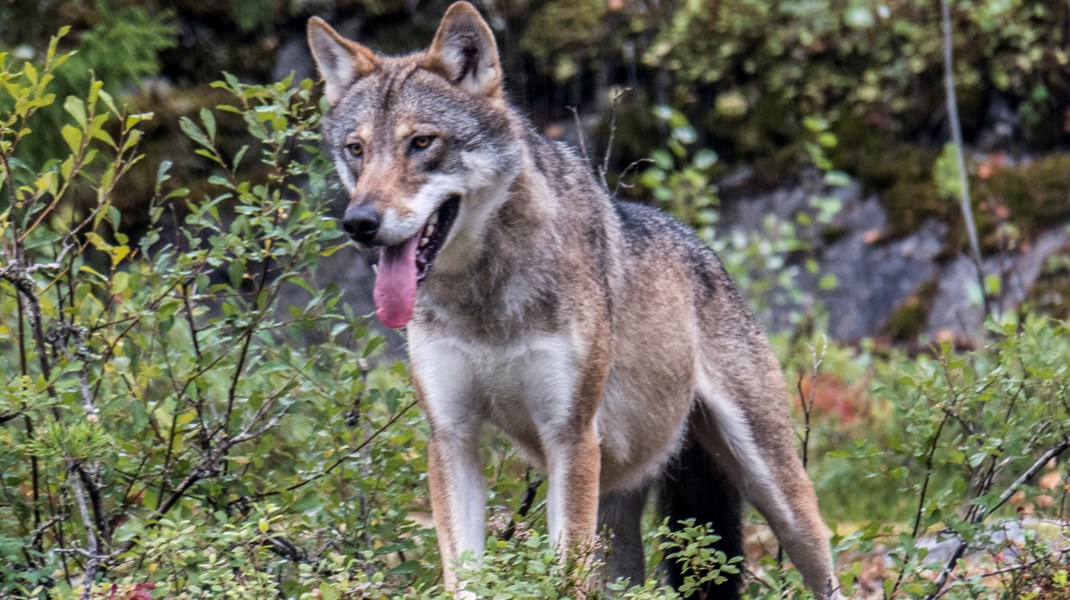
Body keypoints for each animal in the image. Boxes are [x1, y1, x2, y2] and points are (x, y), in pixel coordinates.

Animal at [306, 2, 838, 594]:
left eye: (421, 142)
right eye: (356, 150)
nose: (359, 223)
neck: (483, 298)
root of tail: (705, 249)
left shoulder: (570, 438)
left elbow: (563, 577)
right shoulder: (452, 438)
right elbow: (464, 576)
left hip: (776, 491)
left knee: (825, 568)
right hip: (621, 522)